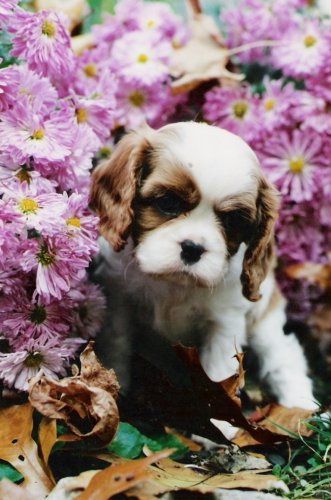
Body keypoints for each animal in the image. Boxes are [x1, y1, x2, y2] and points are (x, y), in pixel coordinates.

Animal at [89, 121, 318, 410]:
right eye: (167, 202)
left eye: (232, 220)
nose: (193, 248)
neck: (173, 283)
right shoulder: (119, 303)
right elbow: (117, 347)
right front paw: (115, 393)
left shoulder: (224, 324)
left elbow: (218, 375)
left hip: (266, 324)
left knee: (283, 355)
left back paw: (302, 406)